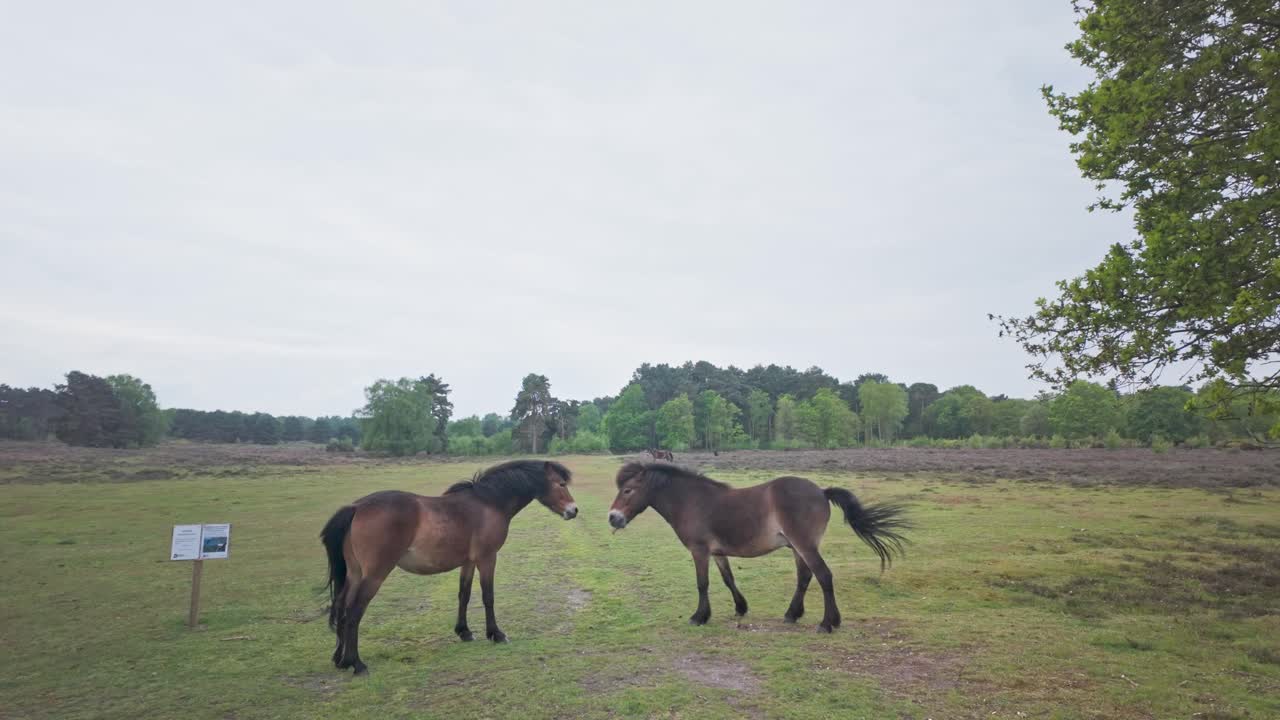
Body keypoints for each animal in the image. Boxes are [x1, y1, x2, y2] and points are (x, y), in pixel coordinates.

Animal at [320, 460, 578, 675]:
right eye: (561, 483)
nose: (574, 510)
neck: (488, 503)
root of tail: (356, 507)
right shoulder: (487, 558)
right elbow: (488, 596)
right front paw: (496, 634)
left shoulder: (469, 562)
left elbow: (464, 594)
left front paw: (464, 631)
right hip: (374, 575)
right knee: (354, 612)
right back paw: (356, 663)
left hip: (355, 574)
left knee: (341, 607)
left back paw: (339, 660)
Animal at [607, 462, 908, 633]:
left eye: (628, 490)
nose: (613, 517)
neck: (692, 500)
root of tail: (822, 491)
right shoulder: (718, 553)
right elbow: (728, 579)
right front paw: (740, 608)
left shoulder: (700, 551)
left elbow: (702, 584)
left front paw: (699, 616)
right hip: (798, 548)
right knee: (805, 577)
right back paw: (792, 615)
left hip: (804, 545)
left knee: (823, 576)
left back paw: (827, 623)